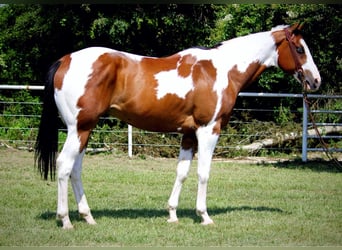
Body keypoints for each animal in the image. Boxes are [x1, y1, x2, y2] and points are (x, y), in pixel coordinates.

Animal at [34, 23, 320, 229]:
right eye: (300, 49)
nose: (316, 81)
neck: (223, 69)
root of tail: (65, 60)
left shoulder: (189, 134)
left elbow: (181, 172)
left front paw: (172, 214)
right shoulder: (208, 130)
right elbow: (203, 173)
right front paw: (204, 216)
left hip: (85, 130)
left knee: (75, 170)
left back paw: (88, 217)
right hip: (79, 128)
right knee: (64, 166)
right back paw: (66, 220)